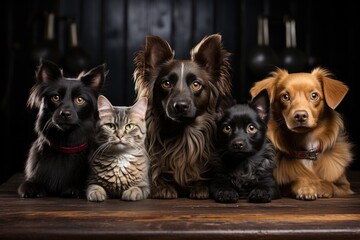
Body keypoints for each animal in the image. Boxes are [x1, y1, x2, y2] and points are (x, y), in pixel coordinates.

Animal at [17, 59, 107, 198]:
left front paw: (72, 189)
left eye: (79, 100)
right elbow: (29, 184)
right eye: (56, 97)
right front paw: (32, 189)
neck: (65, 146)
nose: (65, 113)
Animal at [134, 33, 232, 199]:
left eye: (196, 84)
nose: (180, 105)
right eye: (166, 83)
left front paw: (201, 187)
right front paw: (163, 187)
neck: (182, 136)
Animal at [250, 67, 354, 201]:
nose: (300, 115)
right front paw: (306, 188)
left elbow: (330, 184)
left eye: (314, 95)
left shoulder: (345, 187)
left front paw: (320, 187)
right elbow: (296, 179)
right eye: (285, 96)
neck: (307, 152)